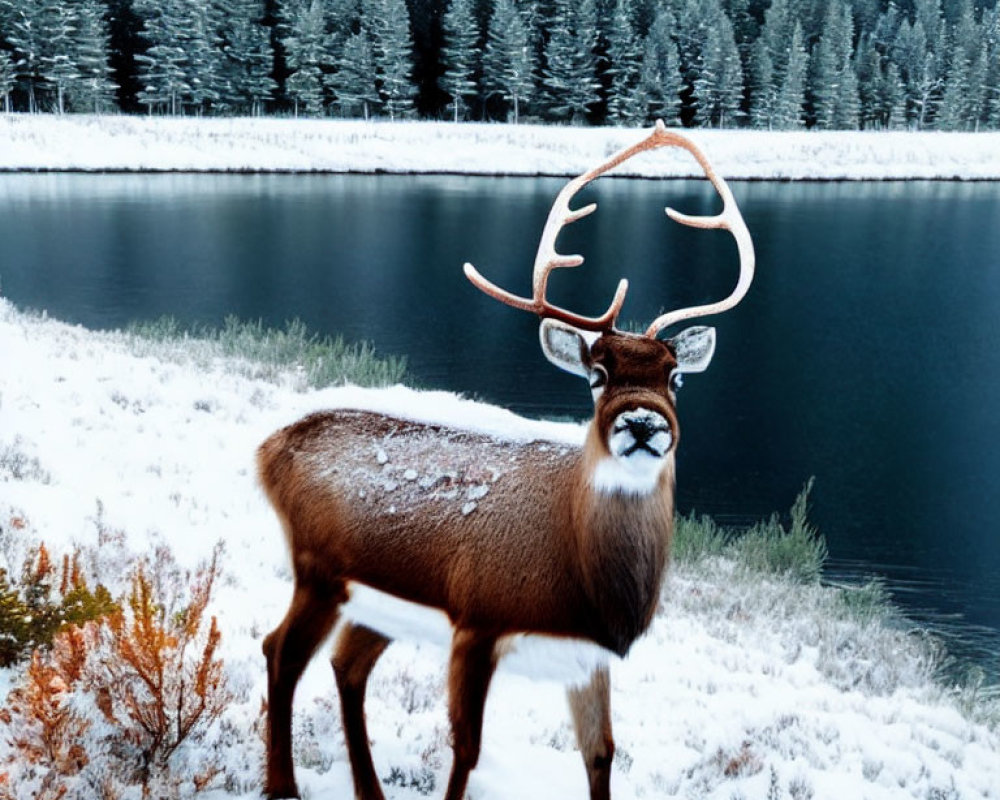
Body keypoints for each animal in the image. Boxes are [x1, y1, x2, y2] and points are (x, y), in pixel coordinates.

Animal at [262, 120, 752, 800]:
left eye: (676, 376)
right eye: (596, 375)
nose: (642, 423)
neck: (585, 580)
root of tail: (271, 447)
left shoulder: (589, 657)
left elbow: (601, 753)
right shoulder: (478, 619)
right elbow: (465, 748)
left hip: (373, 604)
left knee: (344, 665)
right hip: (318, 570)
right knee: (279, 652)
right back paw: (281, 783)